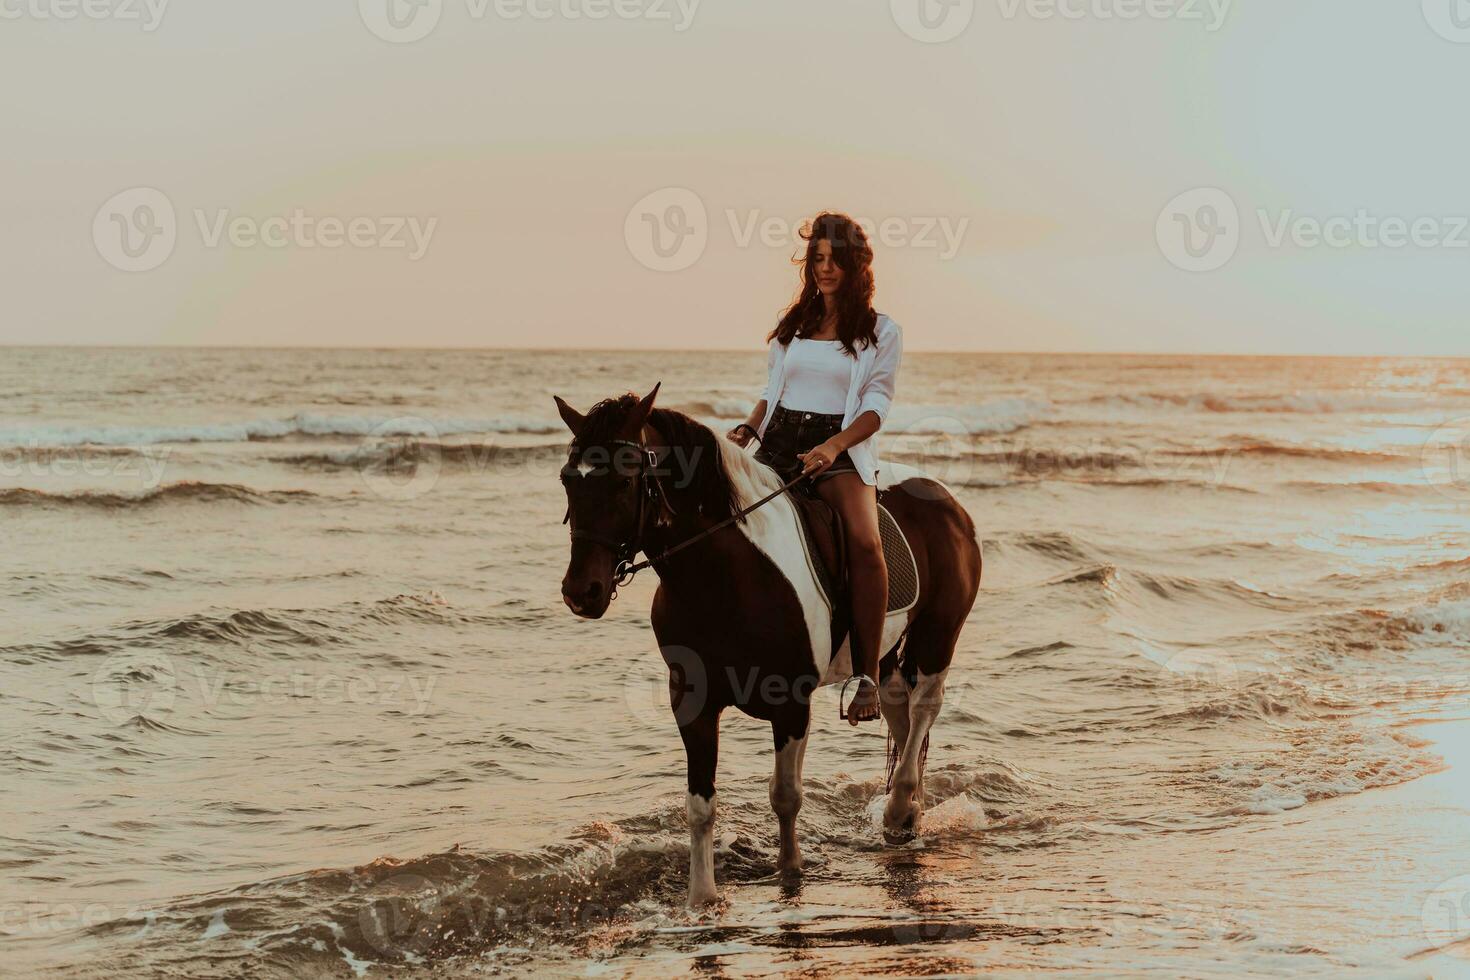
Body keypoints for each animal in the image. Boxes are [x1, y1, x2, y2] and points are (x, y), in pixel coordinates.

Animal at [555, 382, 981, 905]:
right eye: (568, 480)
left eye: (623, 482)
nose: (582, 592)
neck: (726, 575)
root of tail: (945, 499)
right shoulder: (692, 702)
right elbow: (700, 805)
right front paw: (702, 899)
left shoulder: (791, 702)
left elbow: (785, 794)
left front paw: (789, 871)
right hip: (884, 651)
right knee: (899, 712)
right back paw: (908, 814)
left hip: (938, 634)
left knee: (923, 709)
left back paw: (900, 805)